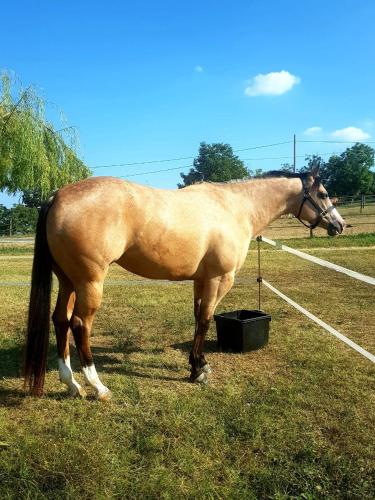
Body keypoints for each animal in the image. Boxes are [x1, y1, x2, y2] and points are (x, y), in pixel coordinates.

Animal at [23, 166, 346, 400]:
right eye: (323, 193)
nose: (340, 225)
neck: (234, 207)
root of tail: (58, 196)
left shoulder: (200, 280)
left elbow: (196, 317)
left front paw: (197, 363)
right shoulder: (218, 279)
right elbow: (205, 320)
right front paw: (198, 371)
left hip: (68, 281)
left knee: (60, 320)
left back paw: (71, 383)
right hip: (90, 282)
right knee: (79, 324)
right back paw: (97, 386)